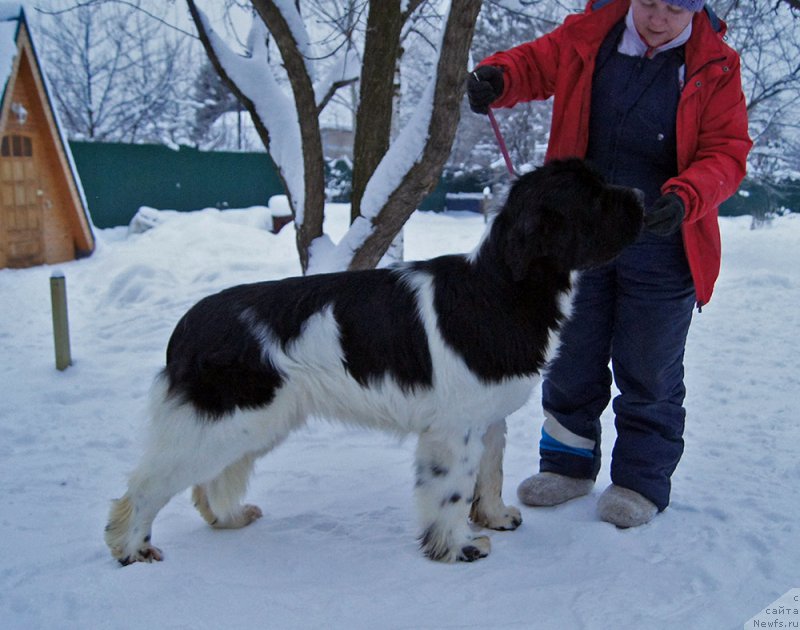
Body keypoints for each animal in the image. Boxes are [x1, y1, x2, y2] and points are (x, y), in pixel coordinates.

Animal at [106, 159, 644, 568]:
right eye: (594, 199)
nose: (642, 193)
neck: (501, 289)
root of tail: (187, 325)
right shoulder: (454, 428)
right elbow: (452, 491)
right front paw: (459, 548)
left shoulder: (488, 418)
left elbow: (489, 473)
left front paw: (495, 517)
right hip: (222, 422)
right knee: (147, 485)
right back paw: (133, 549)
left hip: (251, 423)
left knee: (210, 482)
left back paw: (231, 519)